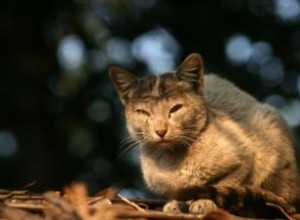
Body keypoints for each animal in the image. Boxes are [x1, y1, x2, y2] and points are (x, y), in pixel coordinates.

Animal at [109, 53, 300, 218]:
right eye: (143, 112)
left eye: (175, 108)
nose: (160, 131)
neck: (173, 160)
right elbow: (176, 193)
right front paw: (174, 204)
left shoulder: (246, 157)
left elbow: (224, 183)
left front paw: (204, 202)